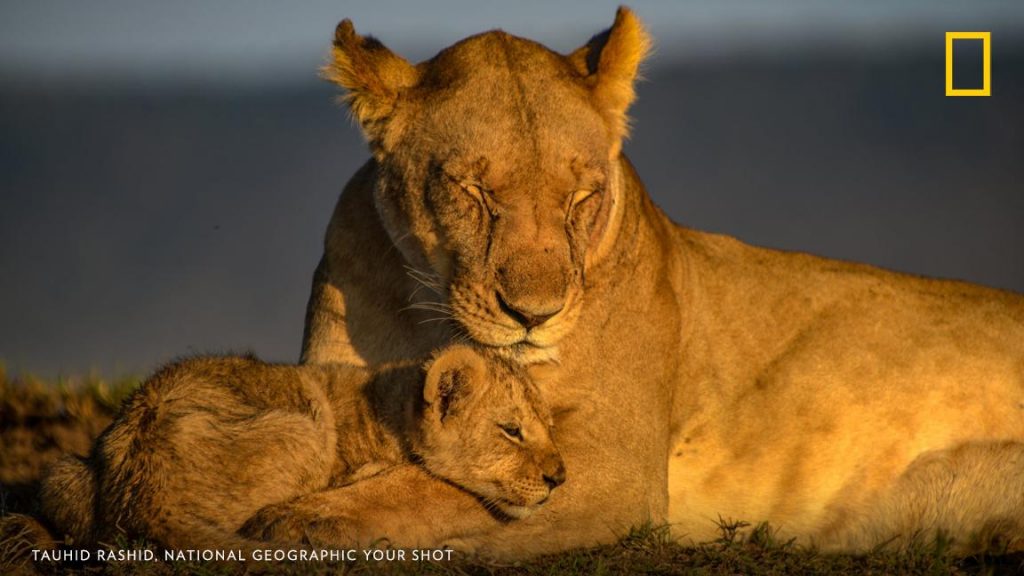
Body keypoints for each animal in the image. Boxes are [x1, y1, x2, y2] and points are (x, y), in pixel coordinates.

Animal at [39, 345, 565, 550]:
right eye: (511, 430)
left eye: (548, 427)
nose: (559, 478)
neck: (388, 412)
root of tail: (147, 500)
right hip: (305, 424)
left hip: (62, 473)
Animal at [296, 6, 1024, 558]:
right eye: (475, 191)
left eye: (581, 197)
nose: (534, 314)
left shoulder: (618, 470)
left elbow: (439, 486)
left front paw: (308, 520)